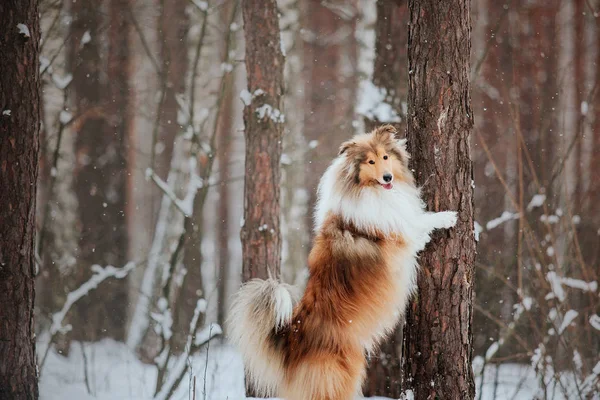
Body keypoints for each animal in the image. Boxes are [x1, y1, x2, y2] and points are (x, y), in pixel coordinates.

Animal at [227, 125, 458, 400]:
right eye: (370, 162)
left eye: (385, 157)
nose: (388, 177)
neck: (370, 191)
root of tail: (292, 339)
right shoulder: (401, 237)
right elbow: (419, 222)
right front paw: (448, 216)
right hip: (339, 375)